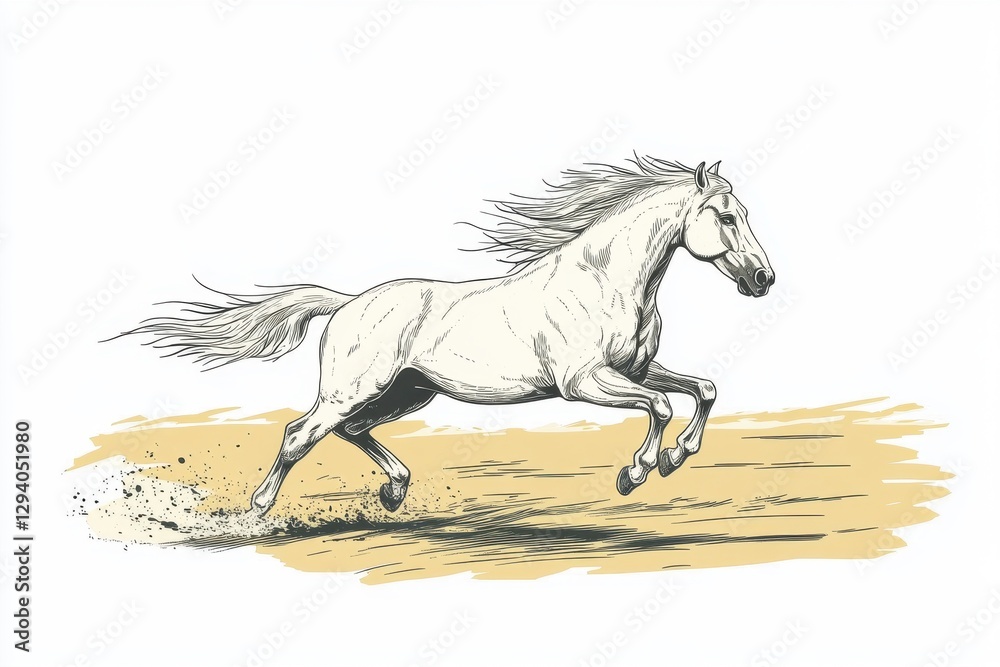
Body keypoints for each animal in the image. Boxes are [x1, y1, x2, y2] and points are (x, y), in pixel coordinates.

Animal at [113, 156, 774, 514]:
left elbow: (703, 390)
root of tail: (348, 303)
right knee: (302, 433)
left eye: (742, 214)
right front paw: (638, 471)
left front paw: (674, 459)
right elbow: (661, 405)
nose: (764, 279)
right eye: (725, 216)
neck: (605, 280)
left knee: (350, 431)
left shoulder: (633, 371)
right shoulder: (585, 381)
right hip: (353, 389)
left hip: (409, 392)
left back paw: (395, 492)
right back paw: (259, 507)